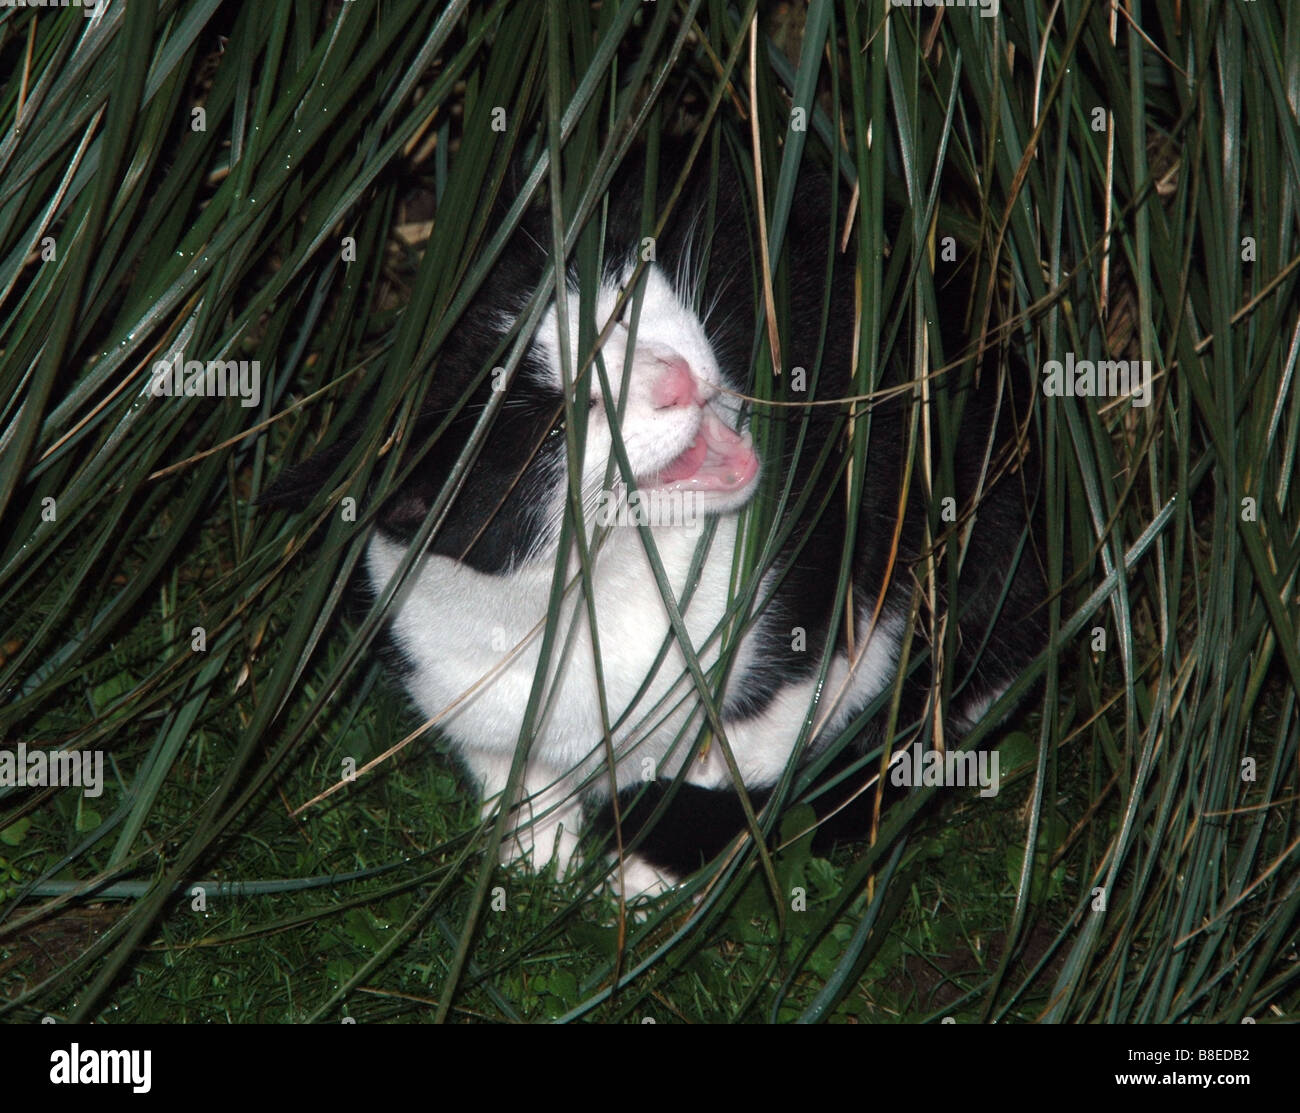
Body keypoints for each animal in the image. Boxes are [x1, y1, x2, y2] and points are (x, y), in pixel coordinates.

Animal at [261, 141, 1045, 904]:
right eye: (563, 422)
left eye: (618, 308)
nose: (674, 378)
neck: (593, 603)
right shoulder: (444, 671)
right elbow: (511, 774)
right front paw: (537, 858)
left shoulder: (827, 607)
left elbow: (751, 749)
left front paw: (644, 864)